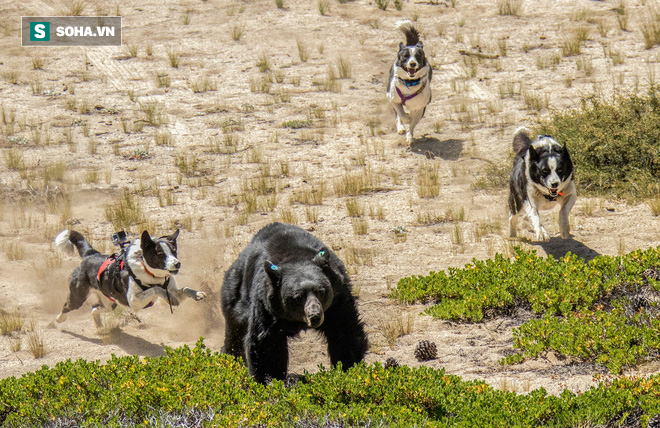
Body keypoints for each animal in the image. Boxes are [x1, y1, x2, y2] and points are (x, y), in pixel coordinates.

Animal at [54, 231, 206, 328]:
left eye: (174, 251)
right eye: (160, 254)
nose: (177, 264)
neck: (151, 274)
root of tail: (90, 254)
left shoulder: (173, 290)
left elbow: (184, 289)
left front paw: (197, 294)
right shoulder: (134, 302)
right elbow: (155, 289)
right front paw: (169, 297)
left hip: (110, 304)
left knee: (94, 308)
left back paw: (99, 325)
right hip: (78, 297)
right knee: (67, 307)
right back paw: (57, 320)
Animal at [220, 222, 366, 382]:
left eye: (321, 291)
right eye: (298, 297)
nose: (315, 316)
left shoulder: (337, 300)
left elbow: (344, 331)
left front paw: (348, 368)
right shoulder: (267, 306)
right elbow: (266, 344)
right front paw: (271, 379)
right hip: (235, 297)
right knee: (235, 332)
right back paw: (229, 358)